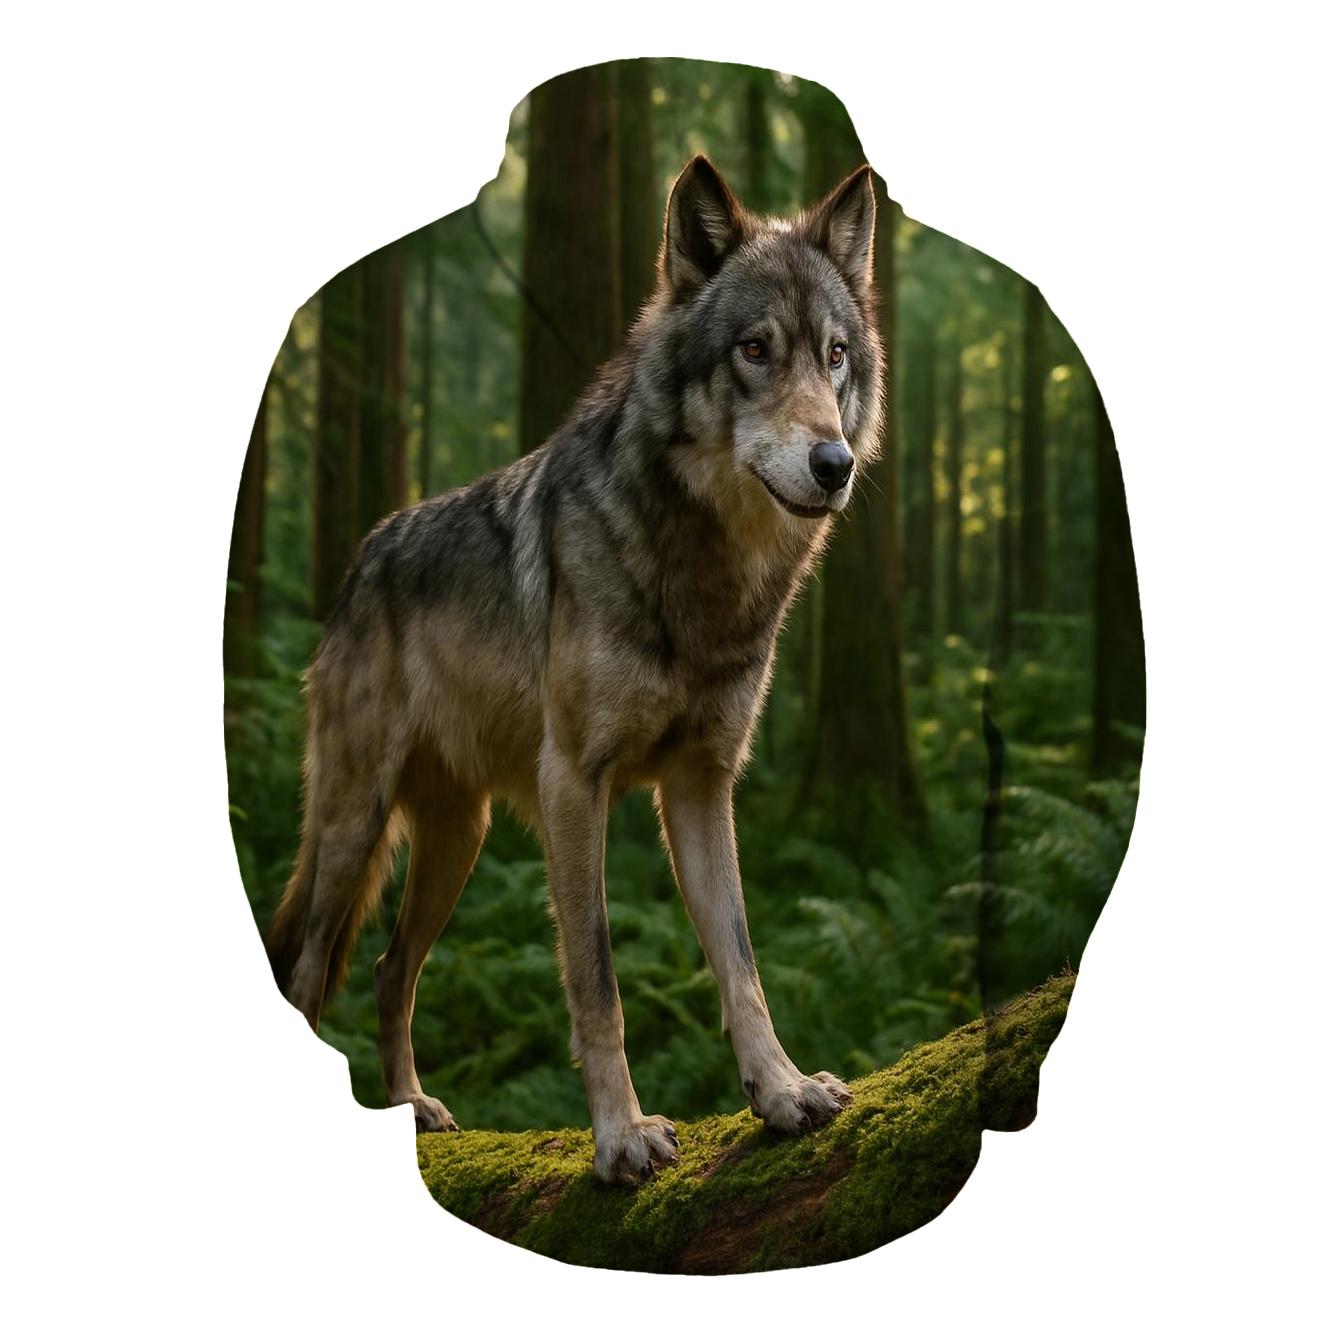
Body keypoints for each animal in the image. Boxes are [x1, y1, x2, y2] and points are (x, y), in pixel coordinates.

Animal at [267, 156, 883, 1184]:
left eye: (834, 355)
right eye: (755, 349)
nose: (833, 461)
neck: (703, 578)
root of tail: (361, 562)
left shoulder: (701, 786)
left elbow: (741, 962)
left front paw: (781, 1091)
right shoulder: (573, 785)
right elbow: (597, 978)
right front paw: (621, 1136)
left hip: (458, 840)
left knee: (392, 972)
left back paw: (412, 1106)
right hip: (357, 825)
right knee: (311, 970)